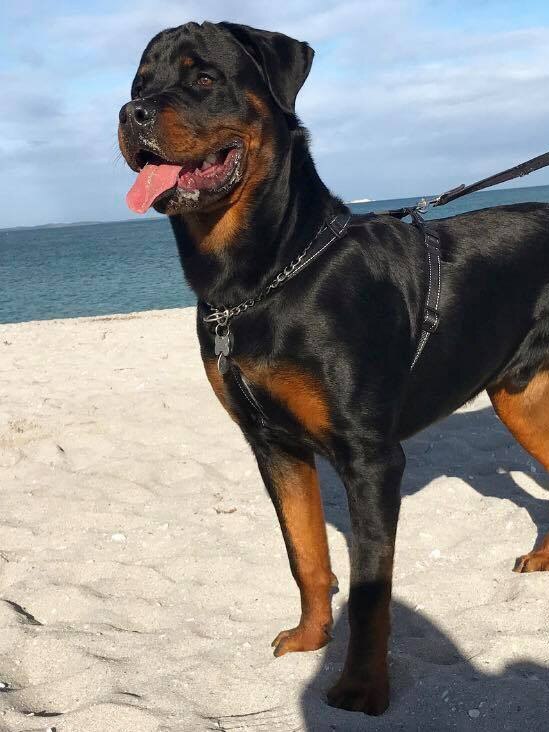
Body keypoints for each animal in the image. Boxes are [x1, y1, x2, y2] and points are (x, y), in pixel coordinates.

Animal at [117, 20, 548, 712]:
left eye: (203, 76)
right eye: (138, 84)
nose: (131, 114)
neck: (262, 278)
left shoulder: (369, 456)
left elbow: (372, 592)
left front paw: (362, 688)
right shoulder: (274, 445)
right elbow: (306, 554)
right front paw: (310, 638)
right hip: (521, 396)